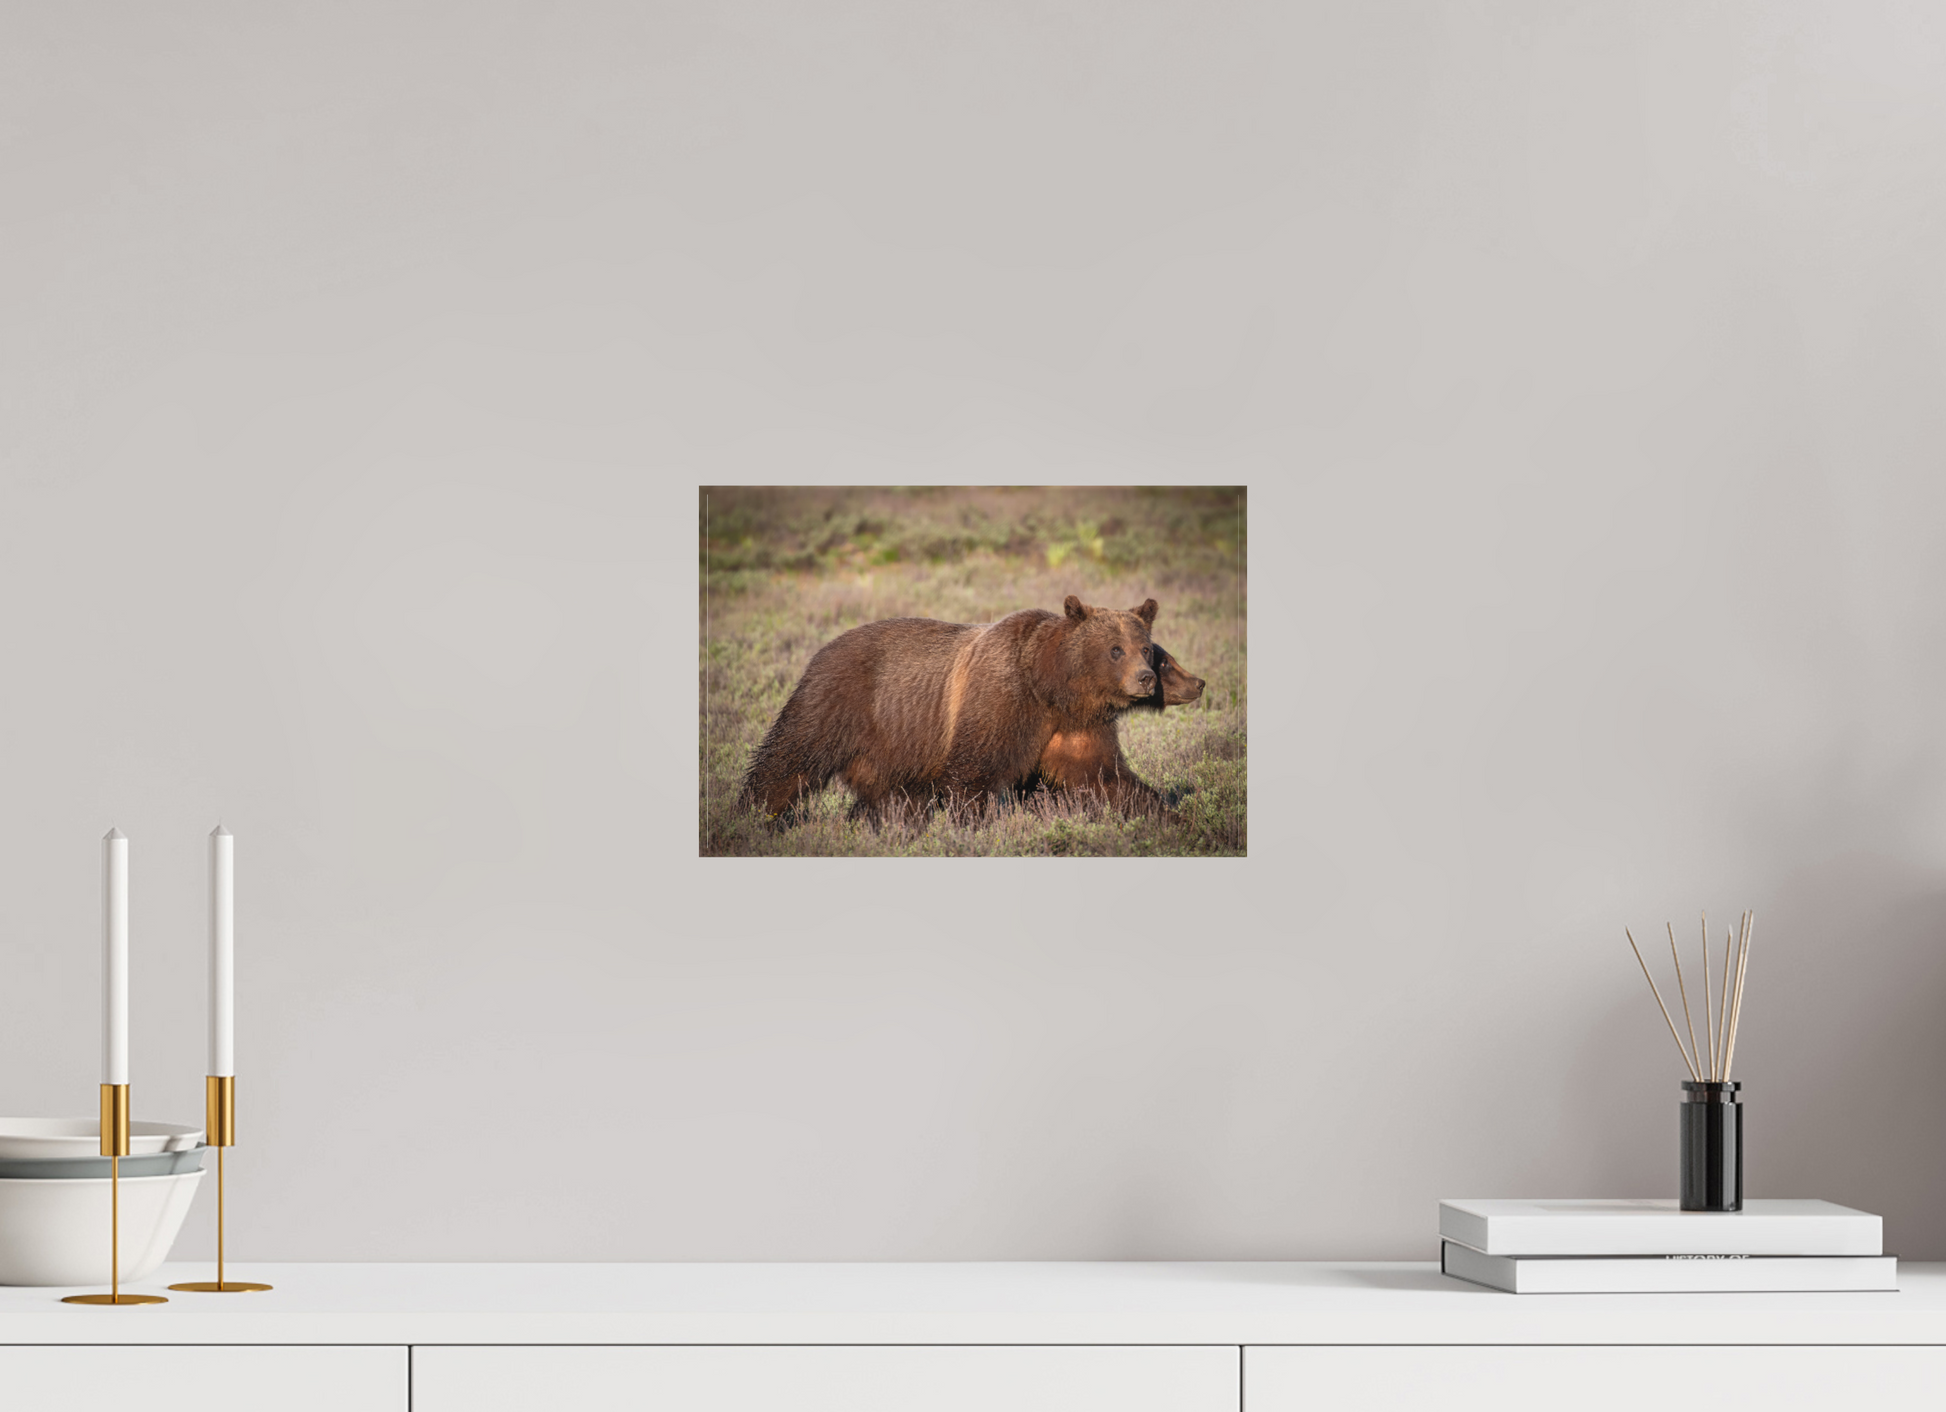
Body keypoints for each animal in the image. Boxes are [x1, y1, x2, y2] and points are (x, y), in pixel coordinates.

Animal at [740, 595, 1160, 822]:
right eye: (1115, 649)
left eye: (1145, 647)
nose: (1146, 678)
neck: (1052, 688)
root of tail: (822, 649)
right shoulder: (1000, 701)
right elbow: (972, 775)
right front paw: (973, 823)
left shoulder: (1075, 727)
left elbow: (1106, 778)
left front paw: (1160, 812)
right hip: (837, 702)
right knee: (789, 759)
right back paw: (754, 814)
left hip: (889, 749)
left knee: (890, 797)